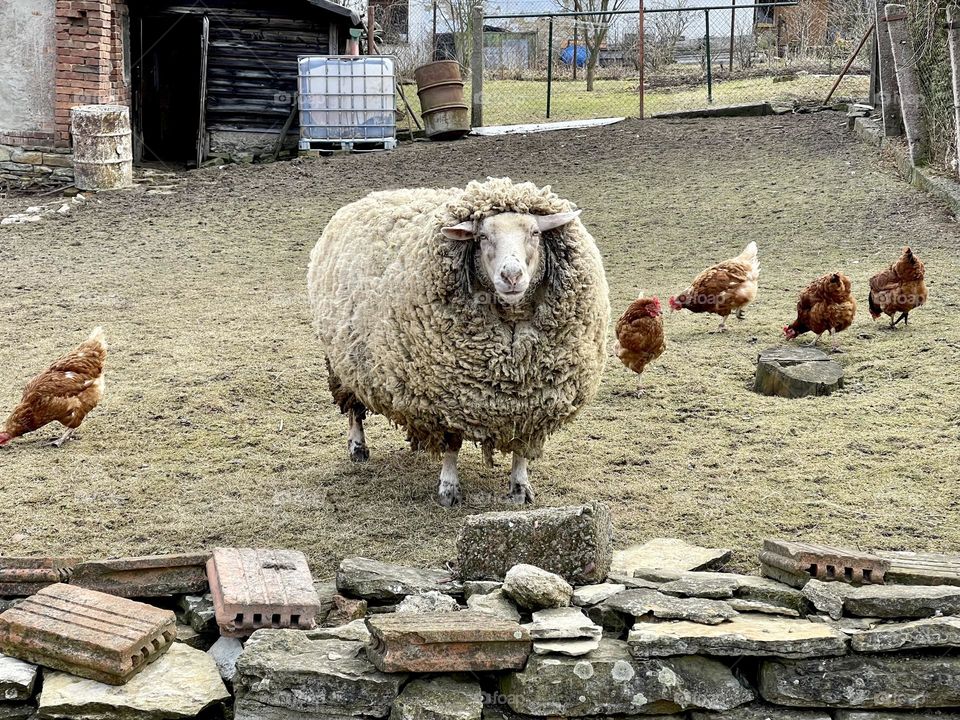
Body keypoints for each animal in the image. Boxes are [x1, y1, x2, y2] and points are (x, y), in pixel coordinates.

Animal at [308, 178, 608, 506]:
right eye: (483, 237)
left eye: (535, 233)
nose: (511, 276)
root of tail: (369, 197)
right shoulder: (445, 401)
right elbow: (451, 446)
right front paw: (448, 488)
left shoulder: (529, 406)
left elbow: (520, 449)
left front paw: (520, 487)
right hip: (341, 362)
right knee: (353, 409)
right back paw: (358, 447)